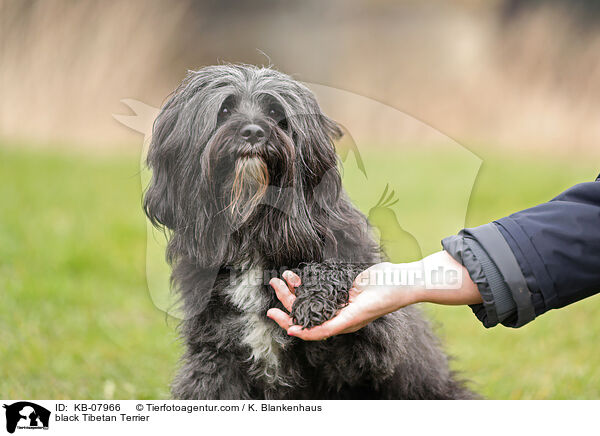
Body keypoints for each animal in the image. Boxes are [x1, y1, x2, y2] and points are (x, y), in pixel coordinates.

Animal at [143, 63, 476, 400]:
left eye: (275, 111)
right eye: (224, 109)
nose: (253, 132)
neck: (255, 226)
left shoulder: (370, 349)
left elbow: (341, 273)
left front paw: (313, 300)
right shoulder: (215, 353)